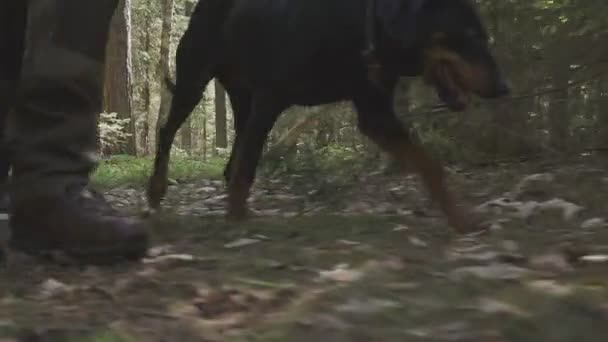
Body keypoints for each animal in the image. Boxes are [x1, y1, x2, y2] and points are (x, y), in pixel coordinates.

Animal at [150, 0, 510, 232]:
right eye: (469, 34)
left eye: (484, 35)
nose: (504, 87)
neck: (363, 24)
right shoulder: (270, 99)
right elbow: (248, 168)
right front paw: (236, 221)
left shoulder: (375, 112)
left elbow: (430, 165)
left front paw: (461, 218)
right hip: (195, 82)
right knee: (167, 131)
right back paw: (156, 190)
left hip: (242, 101)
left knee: (233, 158)